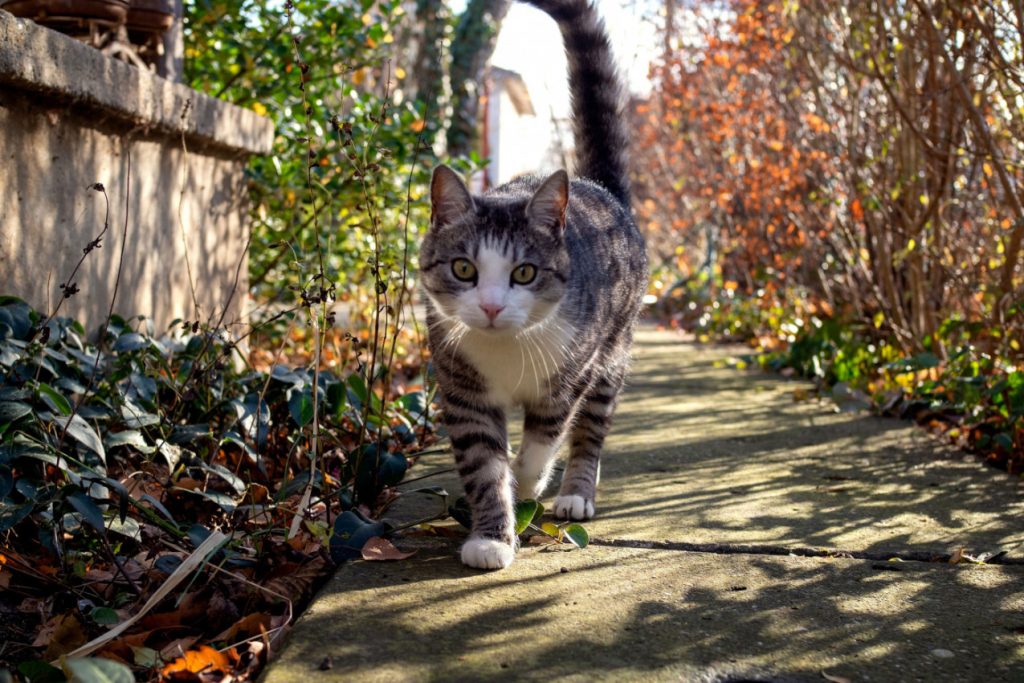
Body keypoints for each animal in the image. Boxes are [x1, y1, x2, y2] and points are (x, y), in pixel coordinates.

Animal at [419, 0, 647, 570]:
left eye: (524, 272)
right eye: (463, 269)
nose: (492, 307)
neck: (506, 349)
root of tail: (599, 187)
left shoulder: (571, 372)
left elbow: (545, 436)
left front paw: (527, 482)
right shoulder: (463, 389)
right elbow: (484, 464)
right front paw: (492, 537)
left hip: (614, 348)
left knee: (591, 425)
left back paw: (574, 493)